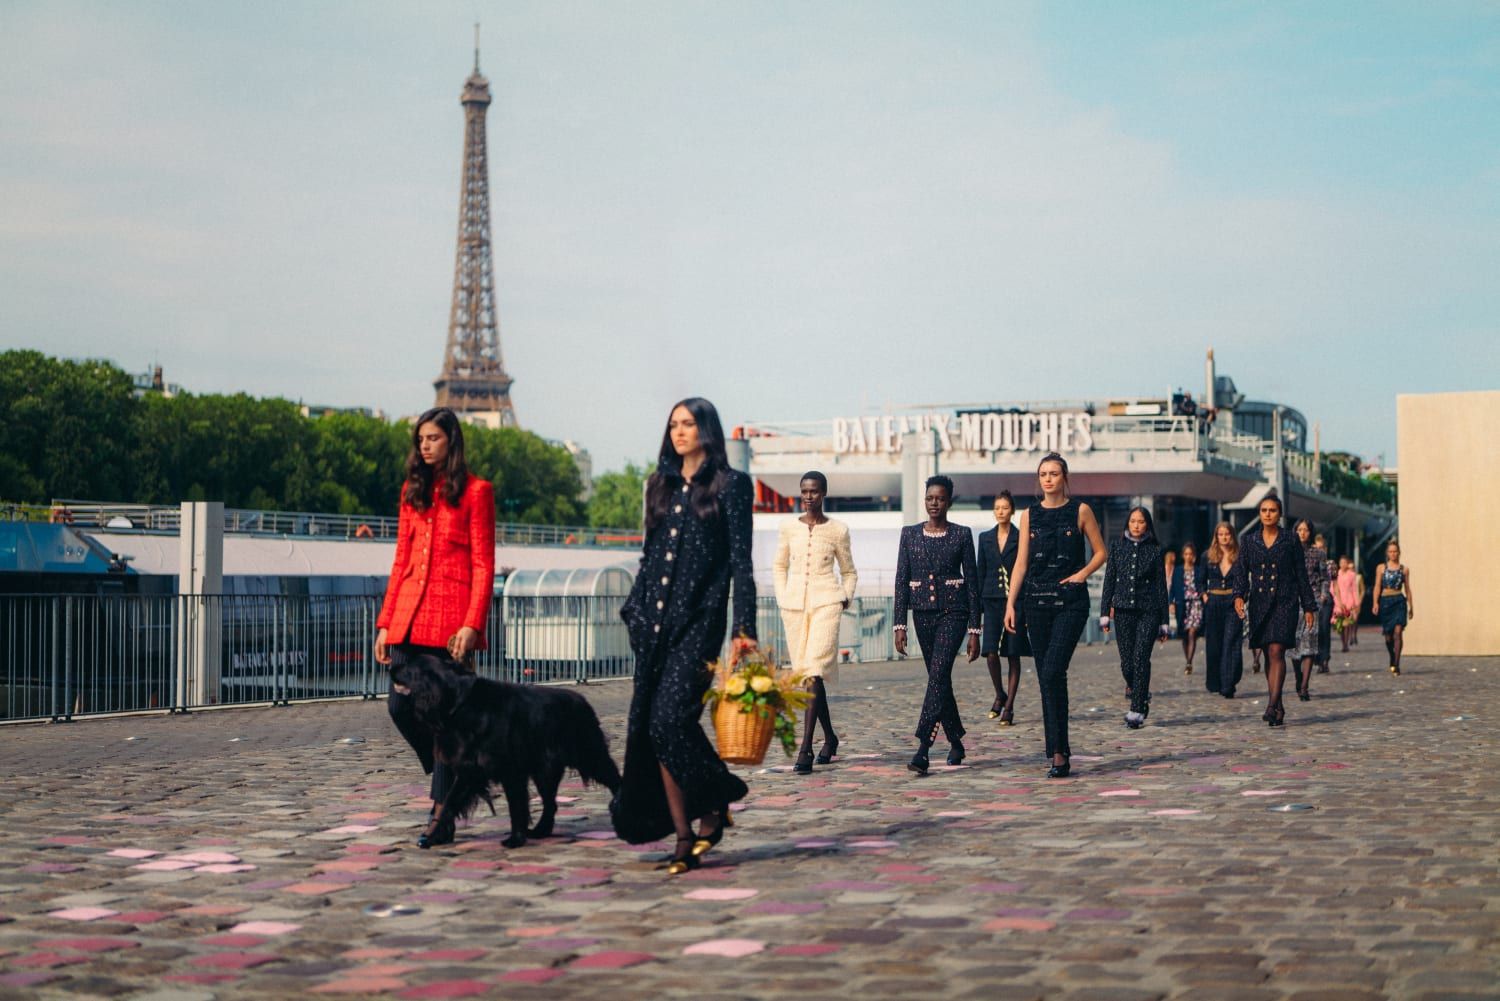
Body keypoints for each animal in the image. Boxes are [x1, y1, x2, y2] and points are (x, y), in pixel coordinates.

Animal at [393, 654, 621, 852]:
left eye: (408, 666)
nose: (390, 667)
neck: (458, 705)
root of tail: (582, 700)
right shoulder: (469, 770)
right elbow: (449, 803)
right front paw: (432, 836)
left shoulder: (511, 771)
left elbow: (516, 806)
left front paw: (515, 839)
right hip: (545, 771)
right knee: (550, 803)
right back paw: (540, 831)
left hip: (591, 755)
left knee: (614, 779)